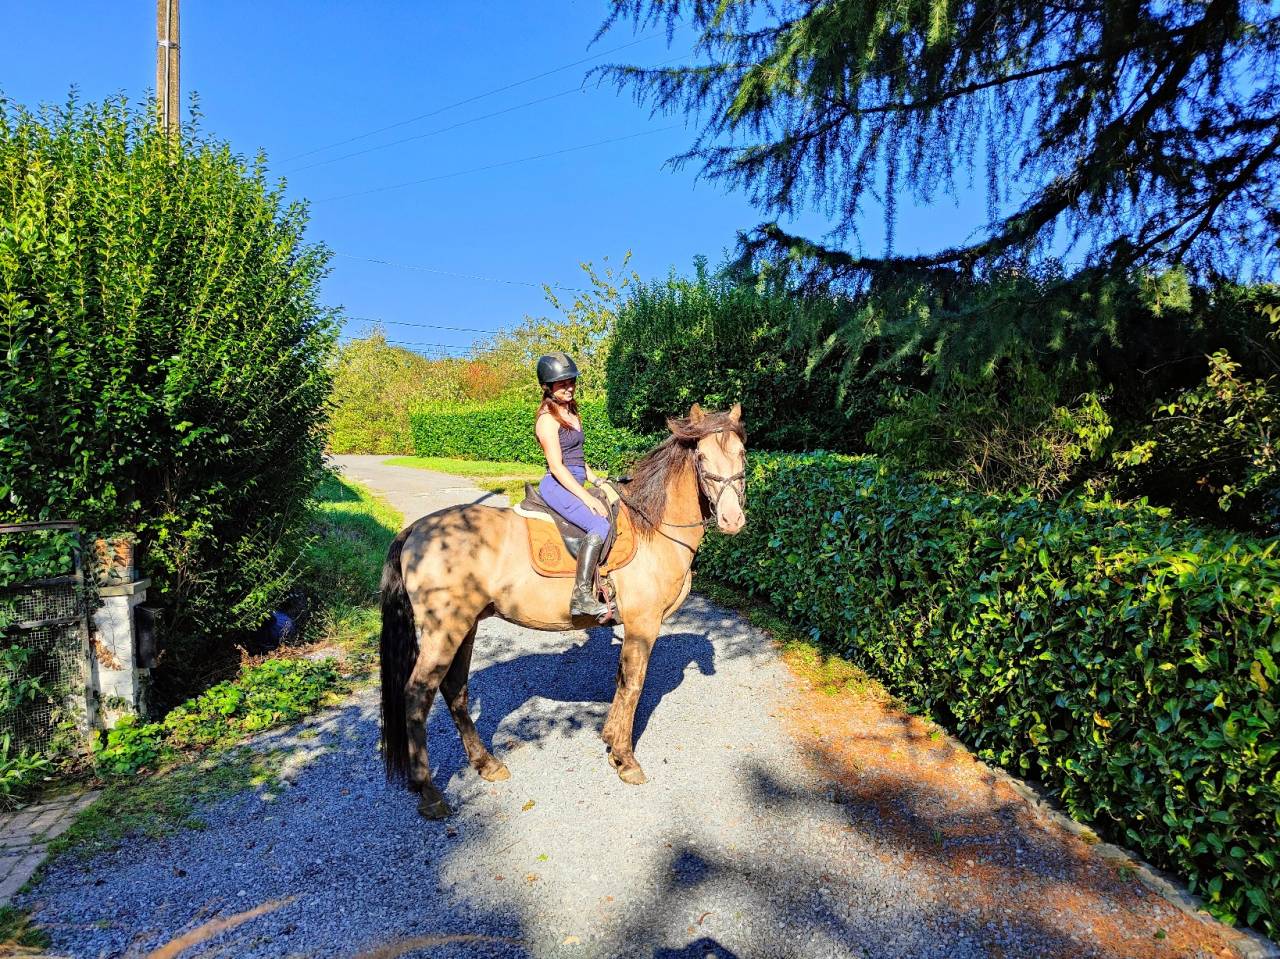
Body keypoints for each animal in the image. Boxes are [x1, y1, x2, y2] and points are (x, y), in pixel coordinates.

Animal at [378, 403, 748, 819]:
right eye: (701, 457)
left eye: (742, 454)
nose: (732, 519)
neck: (652, 529)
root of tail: (415, 531)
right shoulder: (643, 624)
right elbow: (633, 684)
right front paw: (626, 760)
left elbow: (621, 680)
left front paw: (611, 742)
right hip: (445, 630)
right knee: (417, 695)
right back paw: (428, 791)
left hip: (466, 627)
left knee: (454, 689)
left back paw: (486, 764)